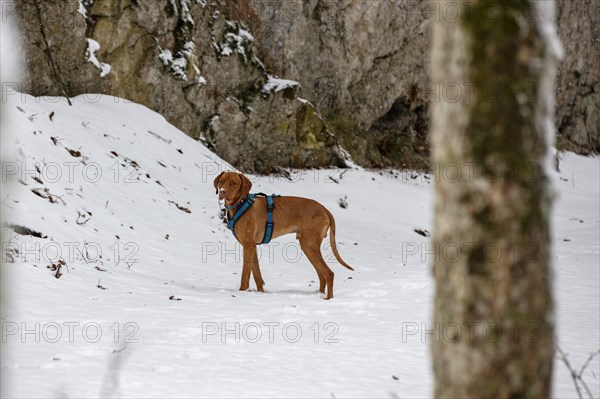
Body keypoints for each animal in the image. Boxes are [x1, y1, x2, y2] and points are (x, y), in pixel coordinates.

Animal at [216, 172, 354, 300]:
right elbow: (257, 275)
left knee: (329, 273)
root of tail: (324, 209)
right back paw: (319, 295)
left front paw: (242, 293)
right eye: (221, 181)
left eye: (234, 183)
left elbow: (245, 276)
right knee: (322, 275)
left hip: (308, 245)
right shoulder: (252, 247)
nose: (222, 191)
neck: (240, 204)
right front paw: (260, 293)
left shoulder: (248, 245)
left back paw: (328, 299)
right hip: (309, 246)